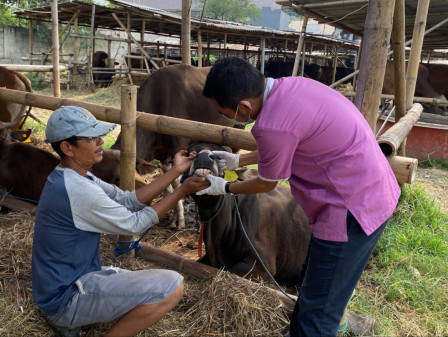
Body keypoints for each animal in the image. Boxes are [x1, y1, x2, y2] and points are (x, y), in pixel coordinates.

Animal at [112, 63, 240, 228]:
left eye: (117, 179)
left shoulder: (179, 146)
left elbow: (176, 183)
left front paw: (180, 220)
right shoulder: (162, 155)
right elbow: (166, 183)